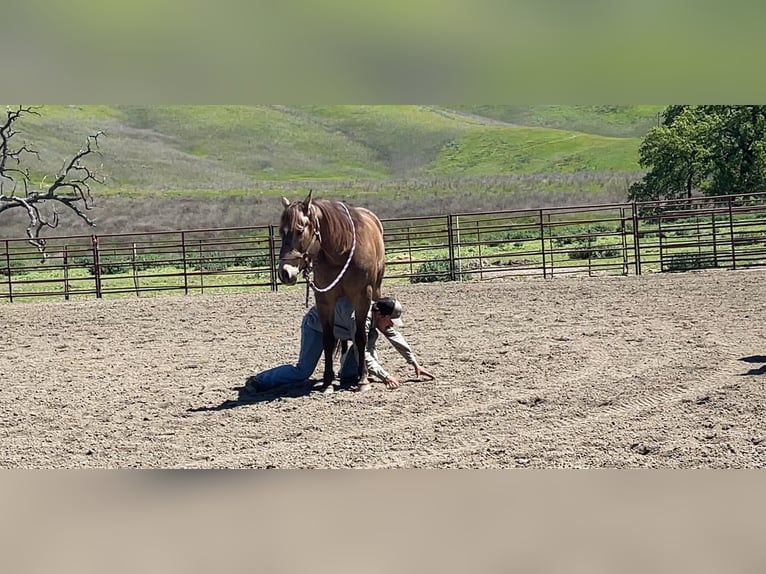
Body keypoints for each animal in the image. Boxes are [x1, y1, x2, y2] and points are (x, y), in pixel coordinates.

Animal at [280, 191, 388, 394]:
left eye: (299, 230)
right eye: (281, 232)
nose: (285, 273)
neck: (341, 251)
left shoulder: (362, 297)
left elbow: (360, 338)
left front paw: (363, 380)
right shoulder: (325, 300)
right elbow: (329, 339)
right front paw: (328, 381)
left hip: (375, 292)